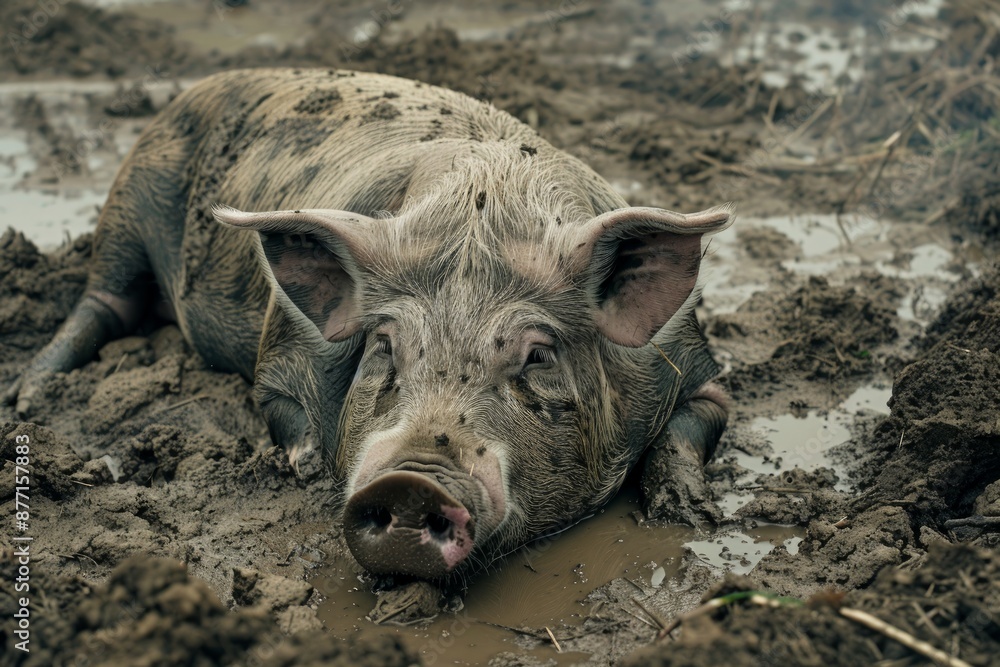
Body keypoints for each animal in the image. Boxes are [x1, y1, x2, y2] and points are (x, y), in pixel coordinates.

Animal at [5, 69, 732, 580]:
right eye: (385, 346)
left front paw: (685, 510)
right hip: (129, 199)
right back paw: (30, 397)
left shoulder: (695, 367)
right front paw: (305, 463)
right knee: (104, 300)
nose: (412, 480)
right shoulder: (278, 355)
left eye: (537, 356)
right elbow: (276, 403)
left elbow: (700, 417)